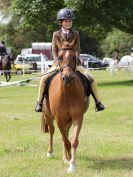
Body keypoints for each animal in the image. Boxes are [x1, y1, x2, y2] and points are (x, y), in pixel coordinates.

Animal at [41, 39, 89, 172]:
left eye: (74, 57)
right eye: (60, 57)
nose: (67, 77)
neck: (67, 92)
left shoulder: (77, 118)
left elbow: (73, 141)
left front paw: (72, 164)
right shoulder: (59, 119)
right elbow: (66, 141)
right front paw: (69, 161)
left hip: (68, 120)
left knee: (65, 135)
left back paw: (65, 157)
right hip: (48, 116)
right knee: (52, 131)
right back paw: (50, 152)